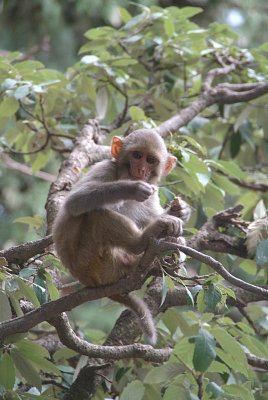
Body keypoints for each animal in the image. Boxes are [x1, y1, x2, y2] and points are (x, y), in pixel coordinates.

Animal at [52, 128, 191, 344]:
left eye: (151, 160)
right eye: (137, 155)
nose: (141, 170)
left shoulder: (154, 194)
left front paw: (180, 211)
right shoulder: (105, 168)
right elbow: (75, 201)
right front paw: (131, 188)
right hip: (97, 264)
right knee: (95, 214)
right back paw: (140, 242)